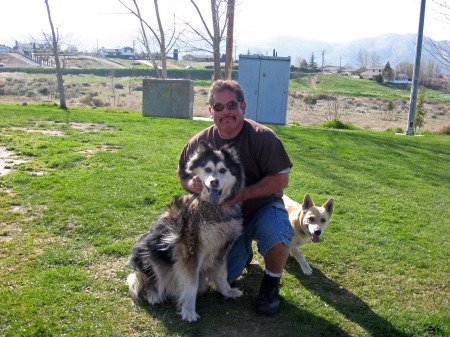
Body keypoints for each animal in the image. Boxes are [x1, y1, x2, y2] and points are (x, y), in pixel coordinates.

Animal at [126, 140, 246, 322]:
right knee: (148, 280)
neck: (214, 210)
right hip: (150, 253)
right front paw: (189, 311)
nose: (214, 182)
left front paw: (227, 291)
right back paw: (153, 295)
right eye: (207, 169)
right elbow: (191, 284)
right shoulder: (190, 252)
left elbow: (222, 274)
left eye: (223, 170)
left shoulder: (222, 248)